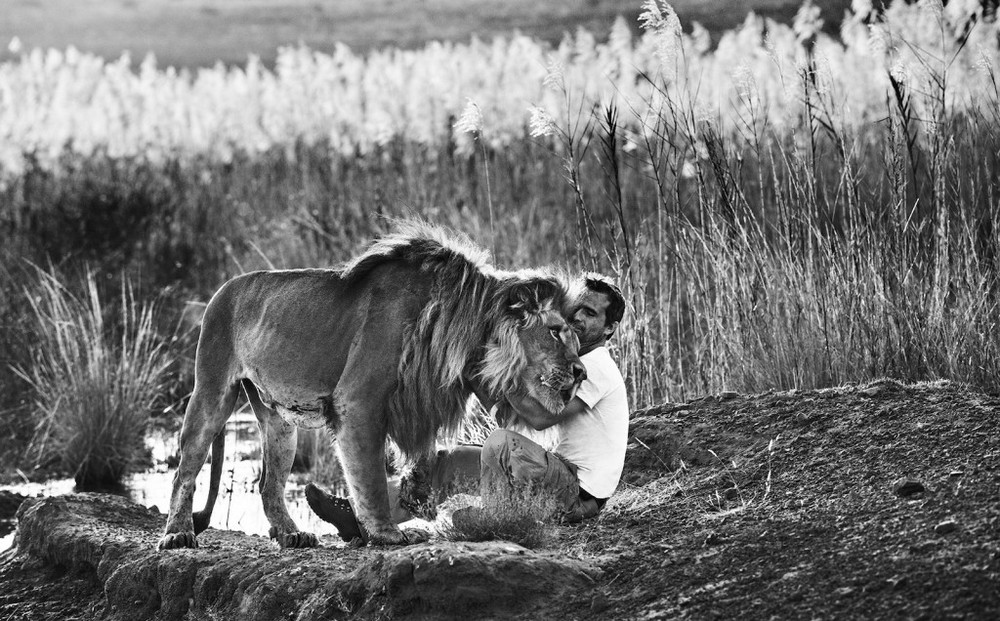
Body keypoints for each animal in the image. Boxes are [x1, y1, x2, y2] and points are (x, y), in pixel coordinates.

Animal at [158, 222, 584, 548]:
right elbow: (371, 477)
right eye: (556, 331)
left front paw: (413, 493)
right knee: (186, 469)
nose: (581, 372)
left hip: (279, 422)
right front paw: (386, 533)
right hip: (211, 390)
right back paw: (177, 535)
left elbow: (420, 455)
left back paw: (291, 534)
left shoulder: (422, 400)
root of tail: (223, 288)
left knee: (268, 482)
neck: (463, 330)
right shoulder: (358, 401)